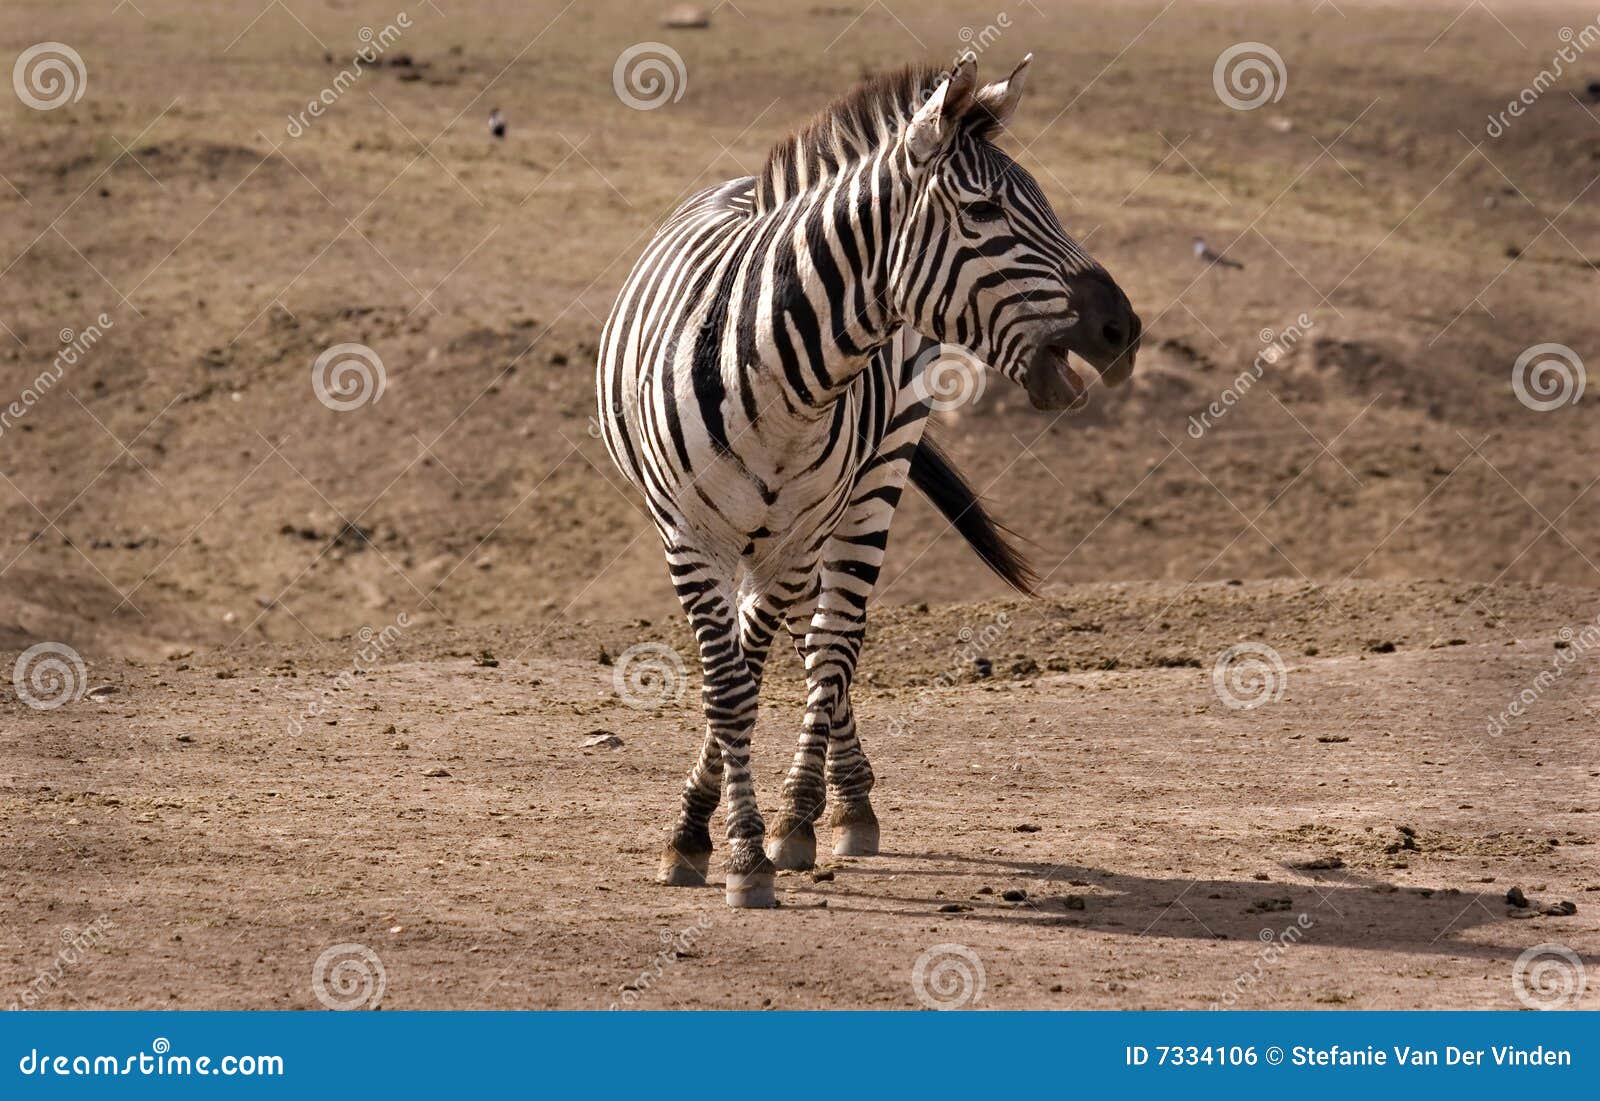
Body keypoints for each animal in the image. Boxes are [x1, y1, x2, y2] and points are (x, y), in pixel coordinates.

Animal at [596, 55, 1141, 907]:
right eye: (985, 209)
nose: (1125, 331)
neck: (775, 378)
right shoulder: (688, 535)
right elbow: (729, 687)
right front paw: (701, 833)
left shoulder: (795, 535)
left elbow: (759, 669)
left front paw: (752, 840)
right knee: (809, 638)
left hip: (874, 476)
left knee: (834, 635)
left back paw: (821, 808)